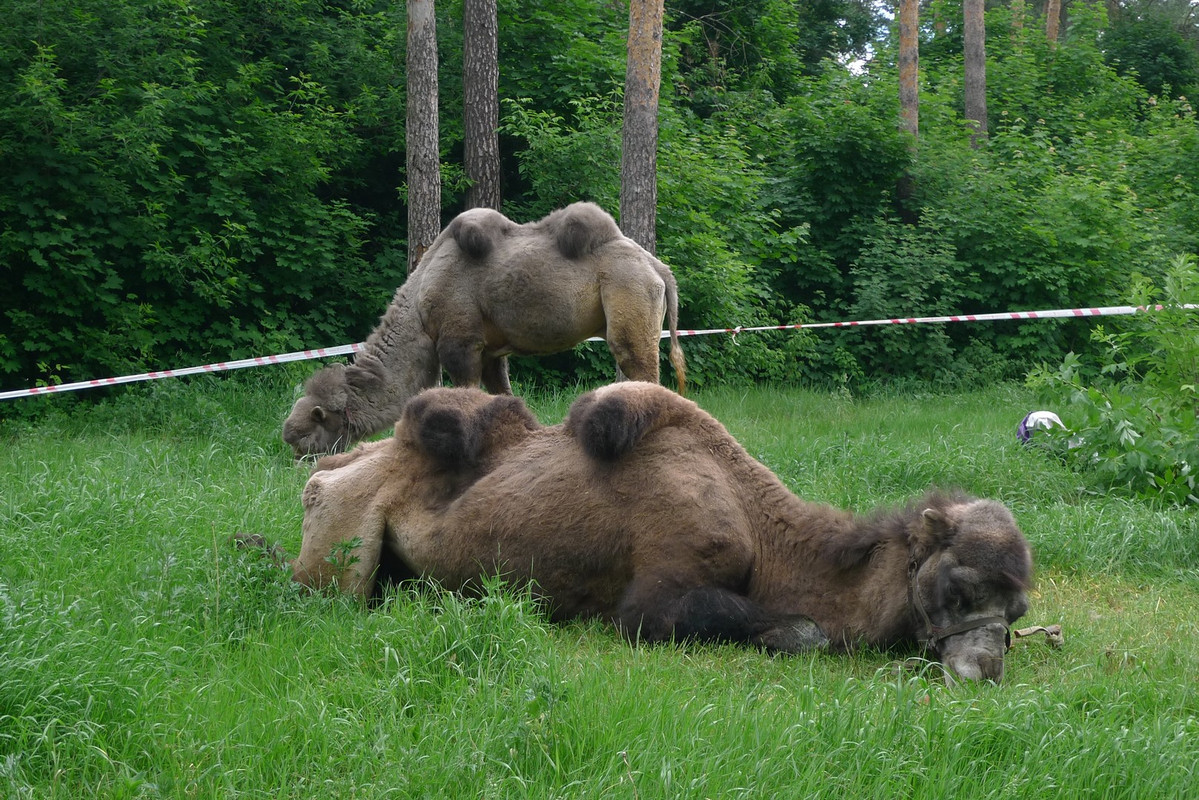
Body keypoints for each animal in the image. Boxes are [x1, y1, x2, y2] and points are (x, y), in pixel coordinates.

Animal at [262, 383, 1031, 681]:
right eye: (959, 588)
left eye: (1019, 610)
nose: (984, 667)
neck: (767, 538)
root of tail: (327, 470)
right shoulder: (656, 596)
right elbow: (797, 629)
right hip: (340, 552)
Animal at [281, 201, 690, 455]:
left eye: (307, 435)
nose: (299, 462)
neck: (420, 304)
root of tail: (659, 268)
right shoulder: (493, 350)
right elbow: (504, 396)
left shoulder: (460, 342)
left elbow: (464, 395)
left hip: (629, 294)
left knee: (639, 364)